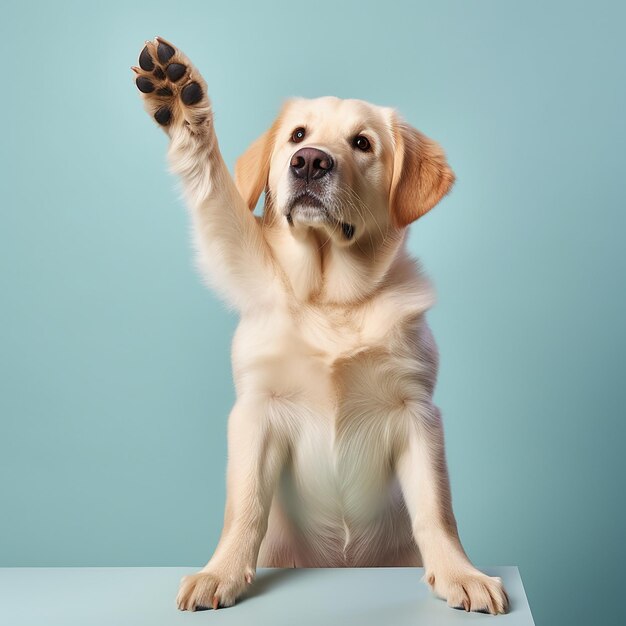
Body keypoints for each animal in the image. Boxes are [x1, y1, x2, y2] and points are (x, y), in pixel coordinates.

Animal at [132, 36, 508, 612]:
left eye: (362, 143)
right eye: (297, 135)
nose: (309, 162)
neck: (332, 298)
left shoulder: (417, 412)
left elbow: (437, 508)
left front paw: (459, 573)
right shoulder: (258, 407)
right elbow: (245, 505)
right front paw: (178, 98)